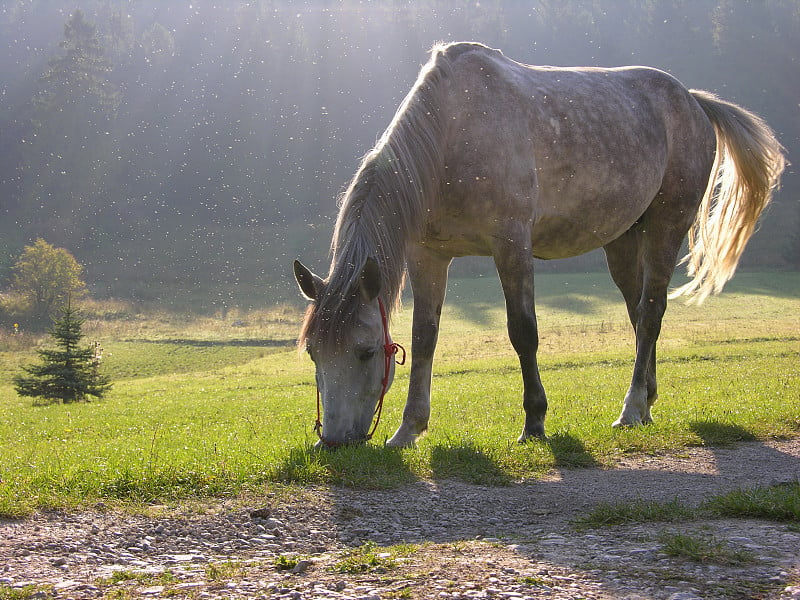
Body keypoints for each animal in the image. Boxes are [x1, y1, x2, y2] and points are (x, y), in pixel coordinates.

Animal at [290, 41, 784, 446]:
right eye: (314, 352)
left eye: (365, 351)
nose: (332, 442)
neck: (451, 133)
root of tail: (693, 101)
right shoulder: (428, 255)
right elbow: (424, 337)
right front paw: (408, 429)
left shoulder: (511, 245)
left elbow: (523, 331)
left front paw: (535, 421)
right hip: (623, 242)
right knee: (639, 311)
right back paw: (646, 400)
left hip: (667, 225)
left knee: (650, 312)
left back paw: (631, 408)